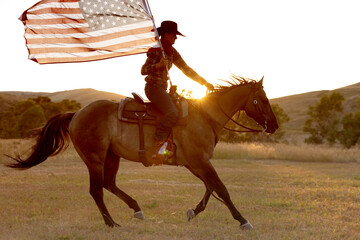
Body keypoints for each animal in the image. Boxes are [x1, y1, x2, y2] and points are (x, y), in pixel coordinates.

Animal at [7, 76, 280, 230]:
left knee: (108, 184)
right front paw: (243, 221)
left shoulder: (195, 163)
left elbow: (210, 188)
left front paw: (193, 212)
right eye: (264, 100)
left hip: (111, 156)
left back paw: (136, 208)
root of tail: (76, 114)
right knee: (96, 190)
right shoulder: (199, 161)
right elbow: (221, 189)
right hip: (94, 158)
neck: (205, 116)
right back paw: (111, 223)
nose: (274, 126)